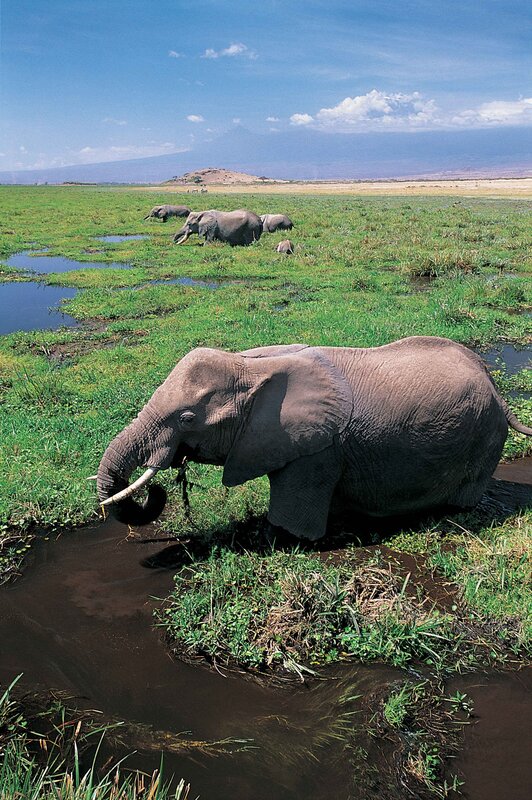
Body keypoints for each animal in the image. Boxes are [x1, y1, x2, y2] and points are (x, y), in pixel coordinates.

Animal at [96, 336, 532, 541]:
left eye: (187, 418)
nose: (156, 492)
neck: (250, 366)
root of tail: (495, 386)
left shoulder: (318, 449)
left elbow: (288, 528)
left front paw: (276, 536)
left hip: (485, 437)